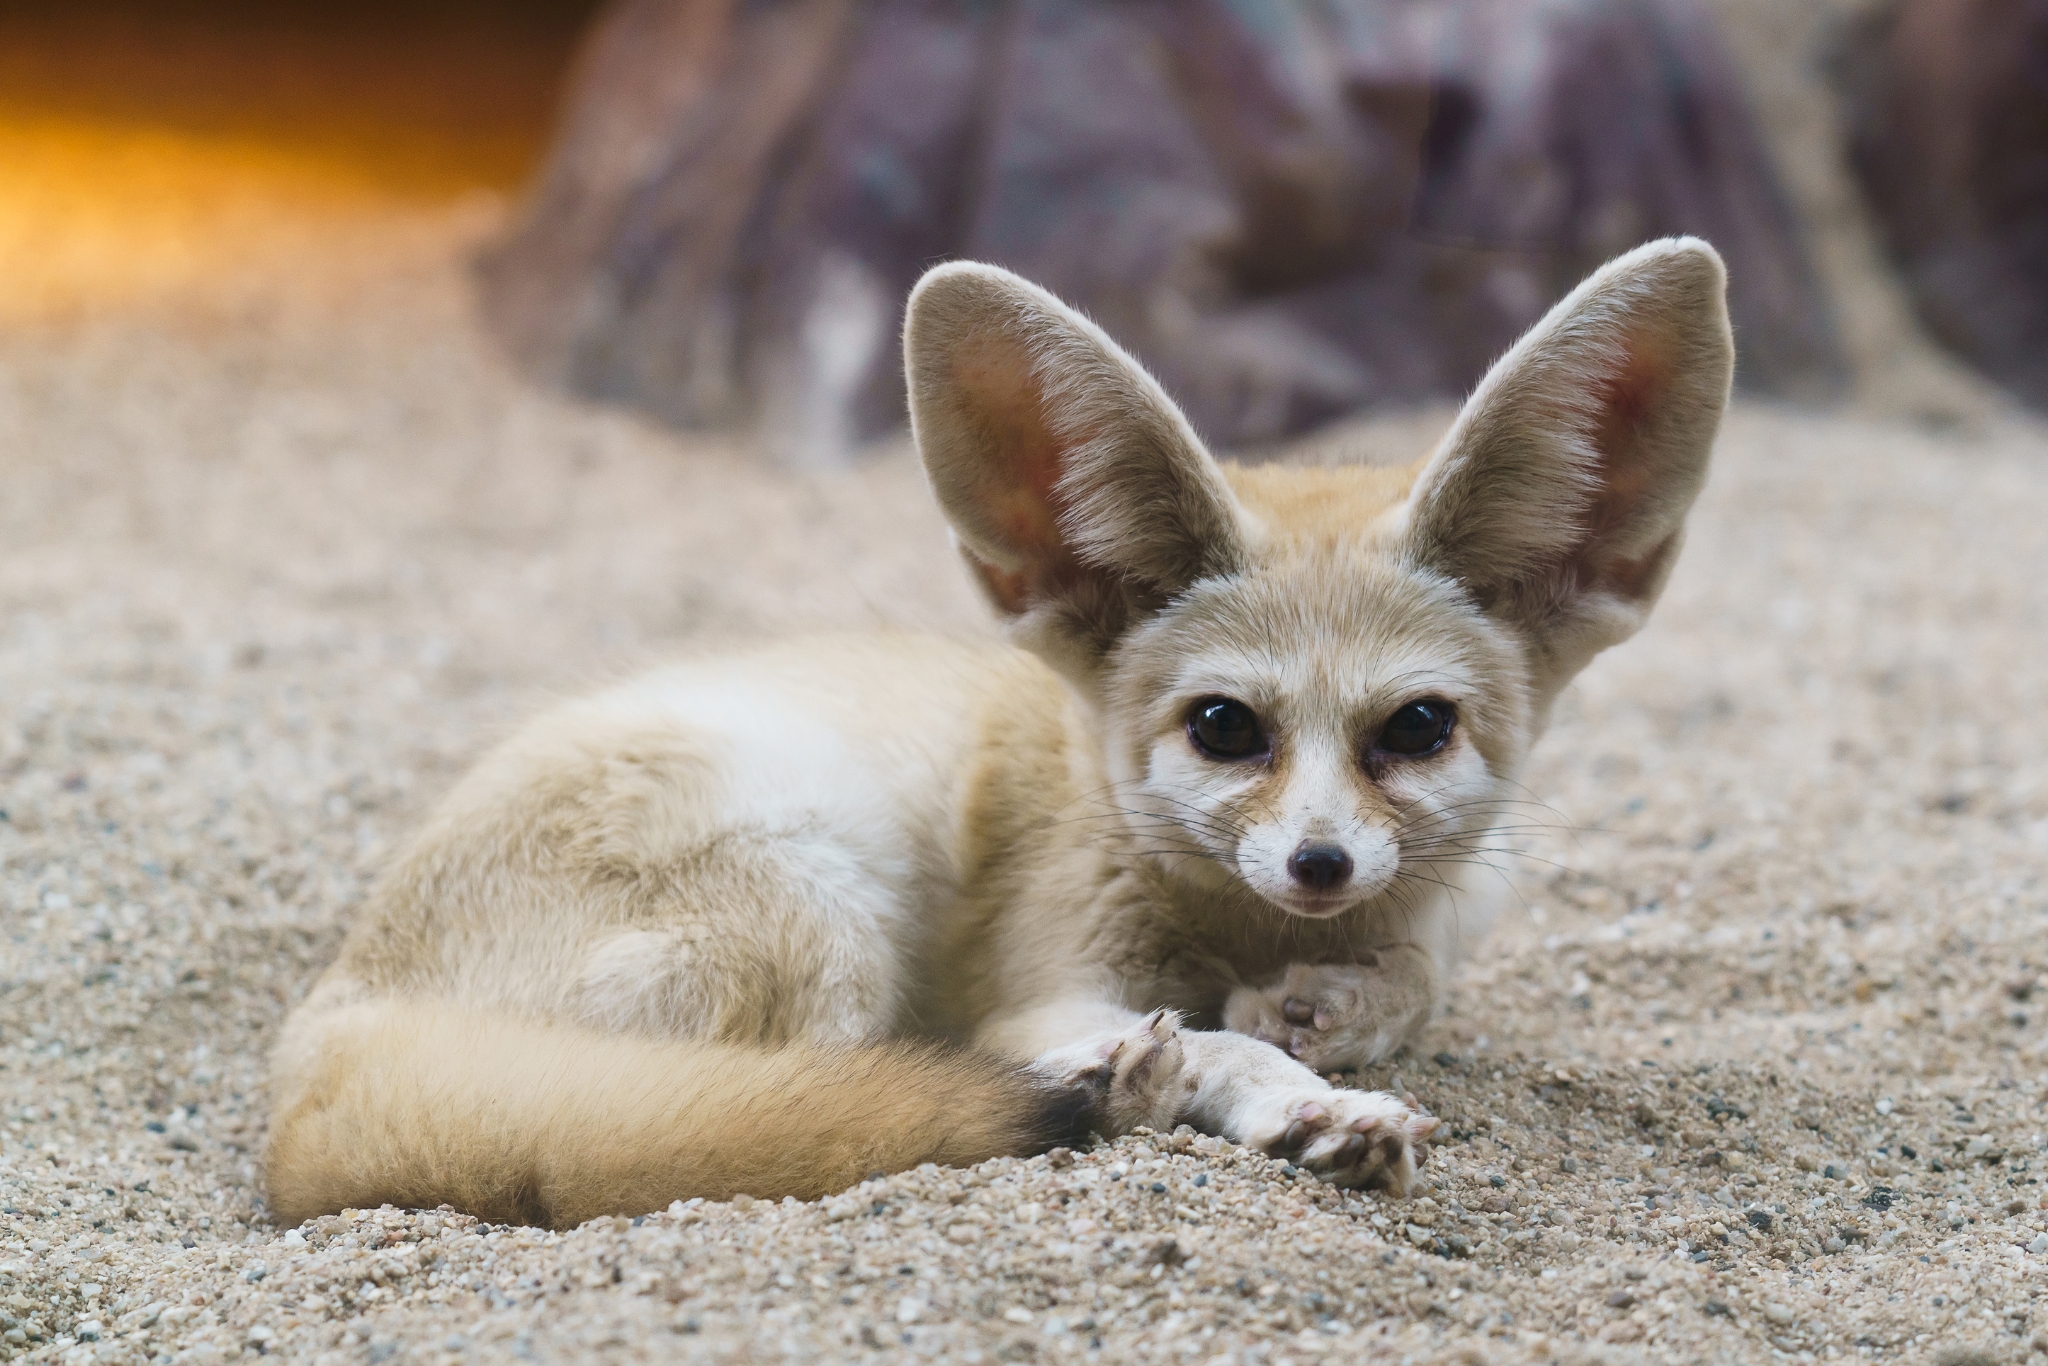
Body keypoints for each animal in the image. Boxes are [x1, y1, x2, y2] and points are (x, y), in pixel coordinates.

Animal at [264, 238, 1732, 1230]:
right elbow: (1205, 1039)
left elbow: (1404, 985)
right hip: (822, 914)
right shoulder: (1043, 977)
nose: (1317, 863)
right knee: (810, 1101)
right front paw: (1291, 1089)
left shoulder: (1440, 917)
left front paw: (1329, 1016)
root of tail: (328, 1027)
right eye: (1223, 727)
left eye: (1416, 728)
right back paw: (1111, 1088)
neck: (1242, 930)